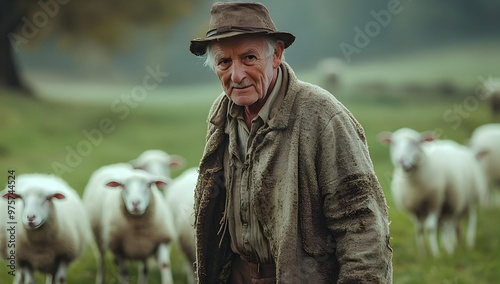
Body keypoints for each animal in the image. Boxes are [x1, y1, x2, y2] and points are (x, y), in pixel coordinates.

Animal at [380, 129, 486, 258]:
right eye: (393, 143)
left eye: (416, 142)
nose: (401, 161)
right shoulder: (416, 210)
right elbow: (419, 230)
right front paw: (422, 254)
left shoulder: (434, 203)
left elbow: (430, 228)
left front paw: (435, 254)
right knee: (446, 225)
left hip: (462, 200)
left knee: (466, 220)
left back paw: (459, 245)